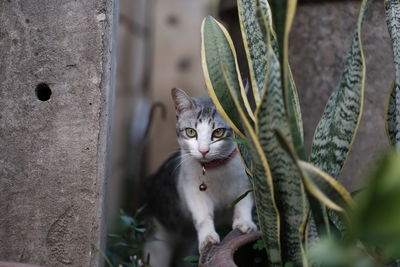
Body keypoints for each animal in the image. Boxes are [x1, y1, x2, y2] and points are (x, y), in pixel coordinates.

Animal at [144, 88, 256, 267]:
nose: (204, 150)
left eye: (218, 132)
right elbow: (203, 215)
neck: (215, 169)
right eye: (191, 132)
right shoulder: (192, 188)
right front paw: (208, 238)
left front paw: (244, 223)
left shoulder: (246, 178)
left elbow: (244, 202)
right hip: (157, 242)